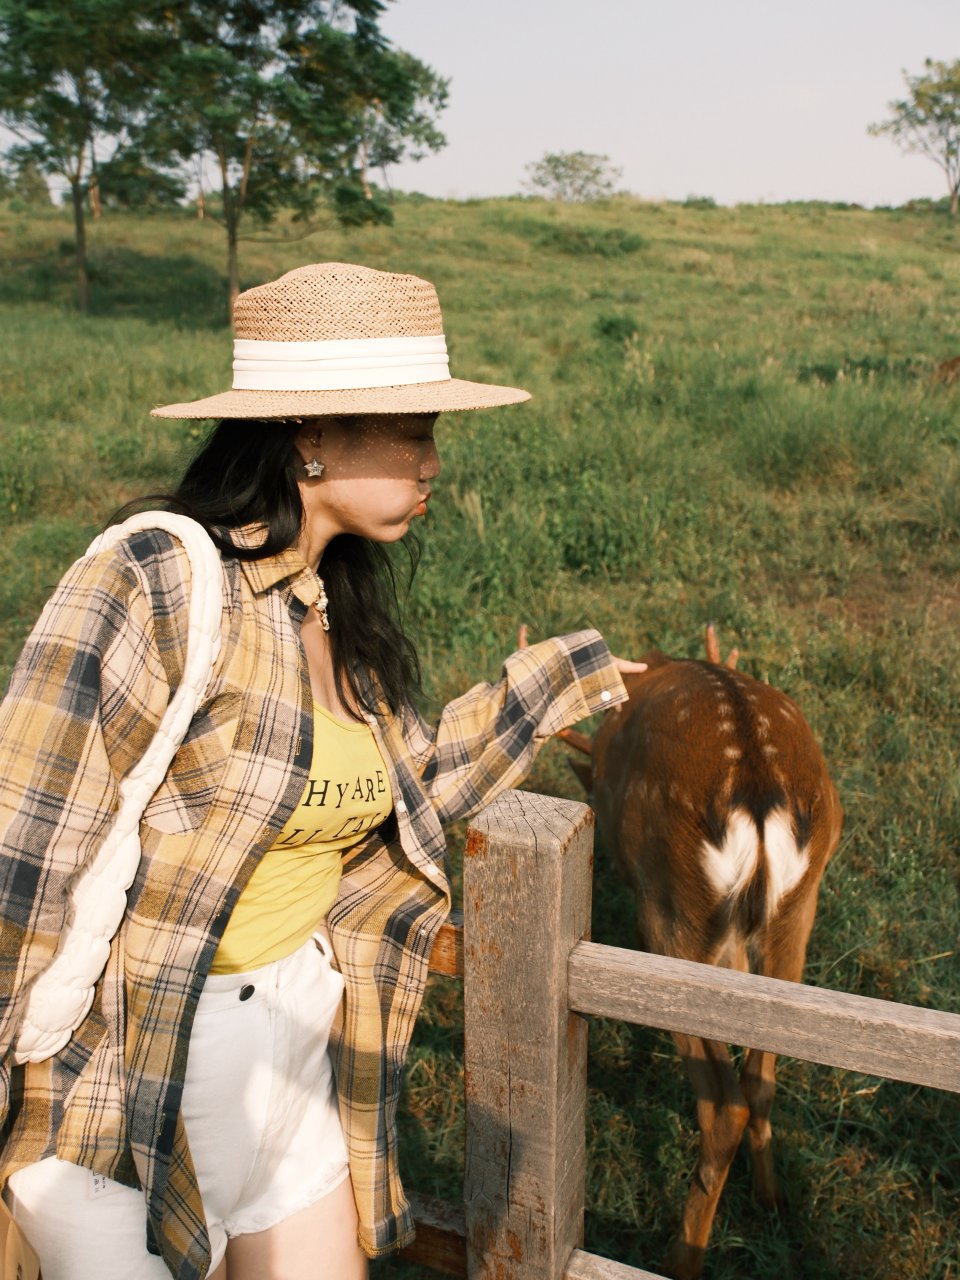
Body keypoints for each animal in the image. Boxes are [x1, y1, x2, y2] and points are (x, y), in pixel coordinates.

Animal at [563, 629, 839, 1280]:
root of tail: (759, 794)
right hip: (799, 909)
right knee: (762, 1076)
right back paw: (770, 1198)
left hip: (673, 913)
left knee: (724, 1103)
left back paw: (678, 1256)